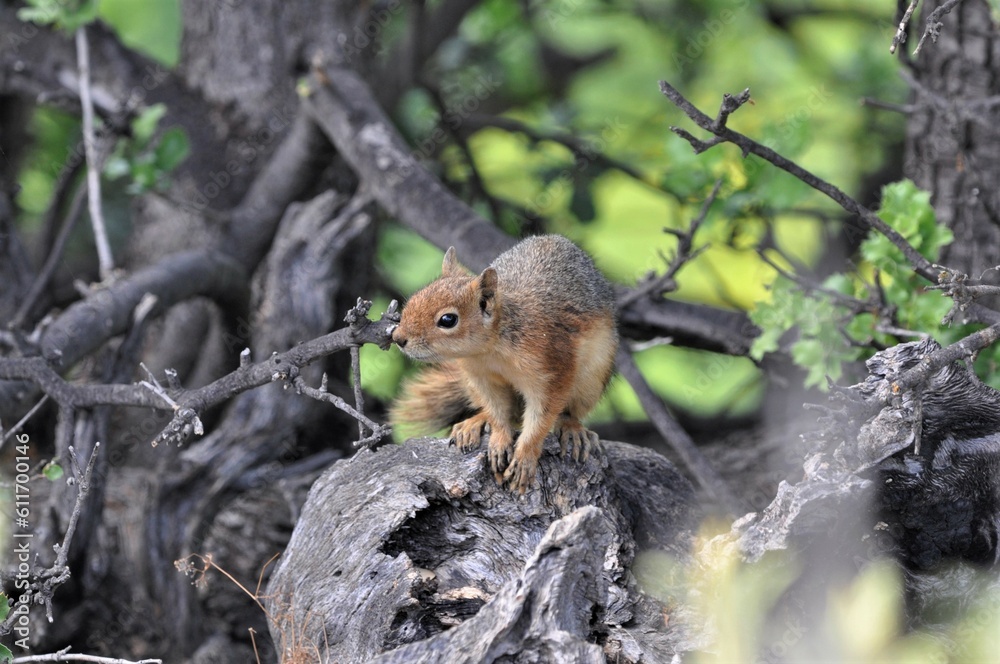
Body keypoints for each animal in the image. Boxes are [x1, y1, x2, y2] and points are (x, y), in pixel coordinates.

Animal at [390, 234, 619, 493]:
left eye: (448, 320)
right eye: (416, 298)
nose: (398, 338)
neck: (491, 351)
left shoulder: (553, 370)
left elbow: (542, 417)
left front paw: (524, 458)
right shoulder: (481, 379)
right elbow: (497, 412)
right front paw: (499, 440)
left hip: (592, 379)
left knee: (570, 412)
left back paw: (573, 430)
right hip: (469, 385)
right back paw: (475, 423)